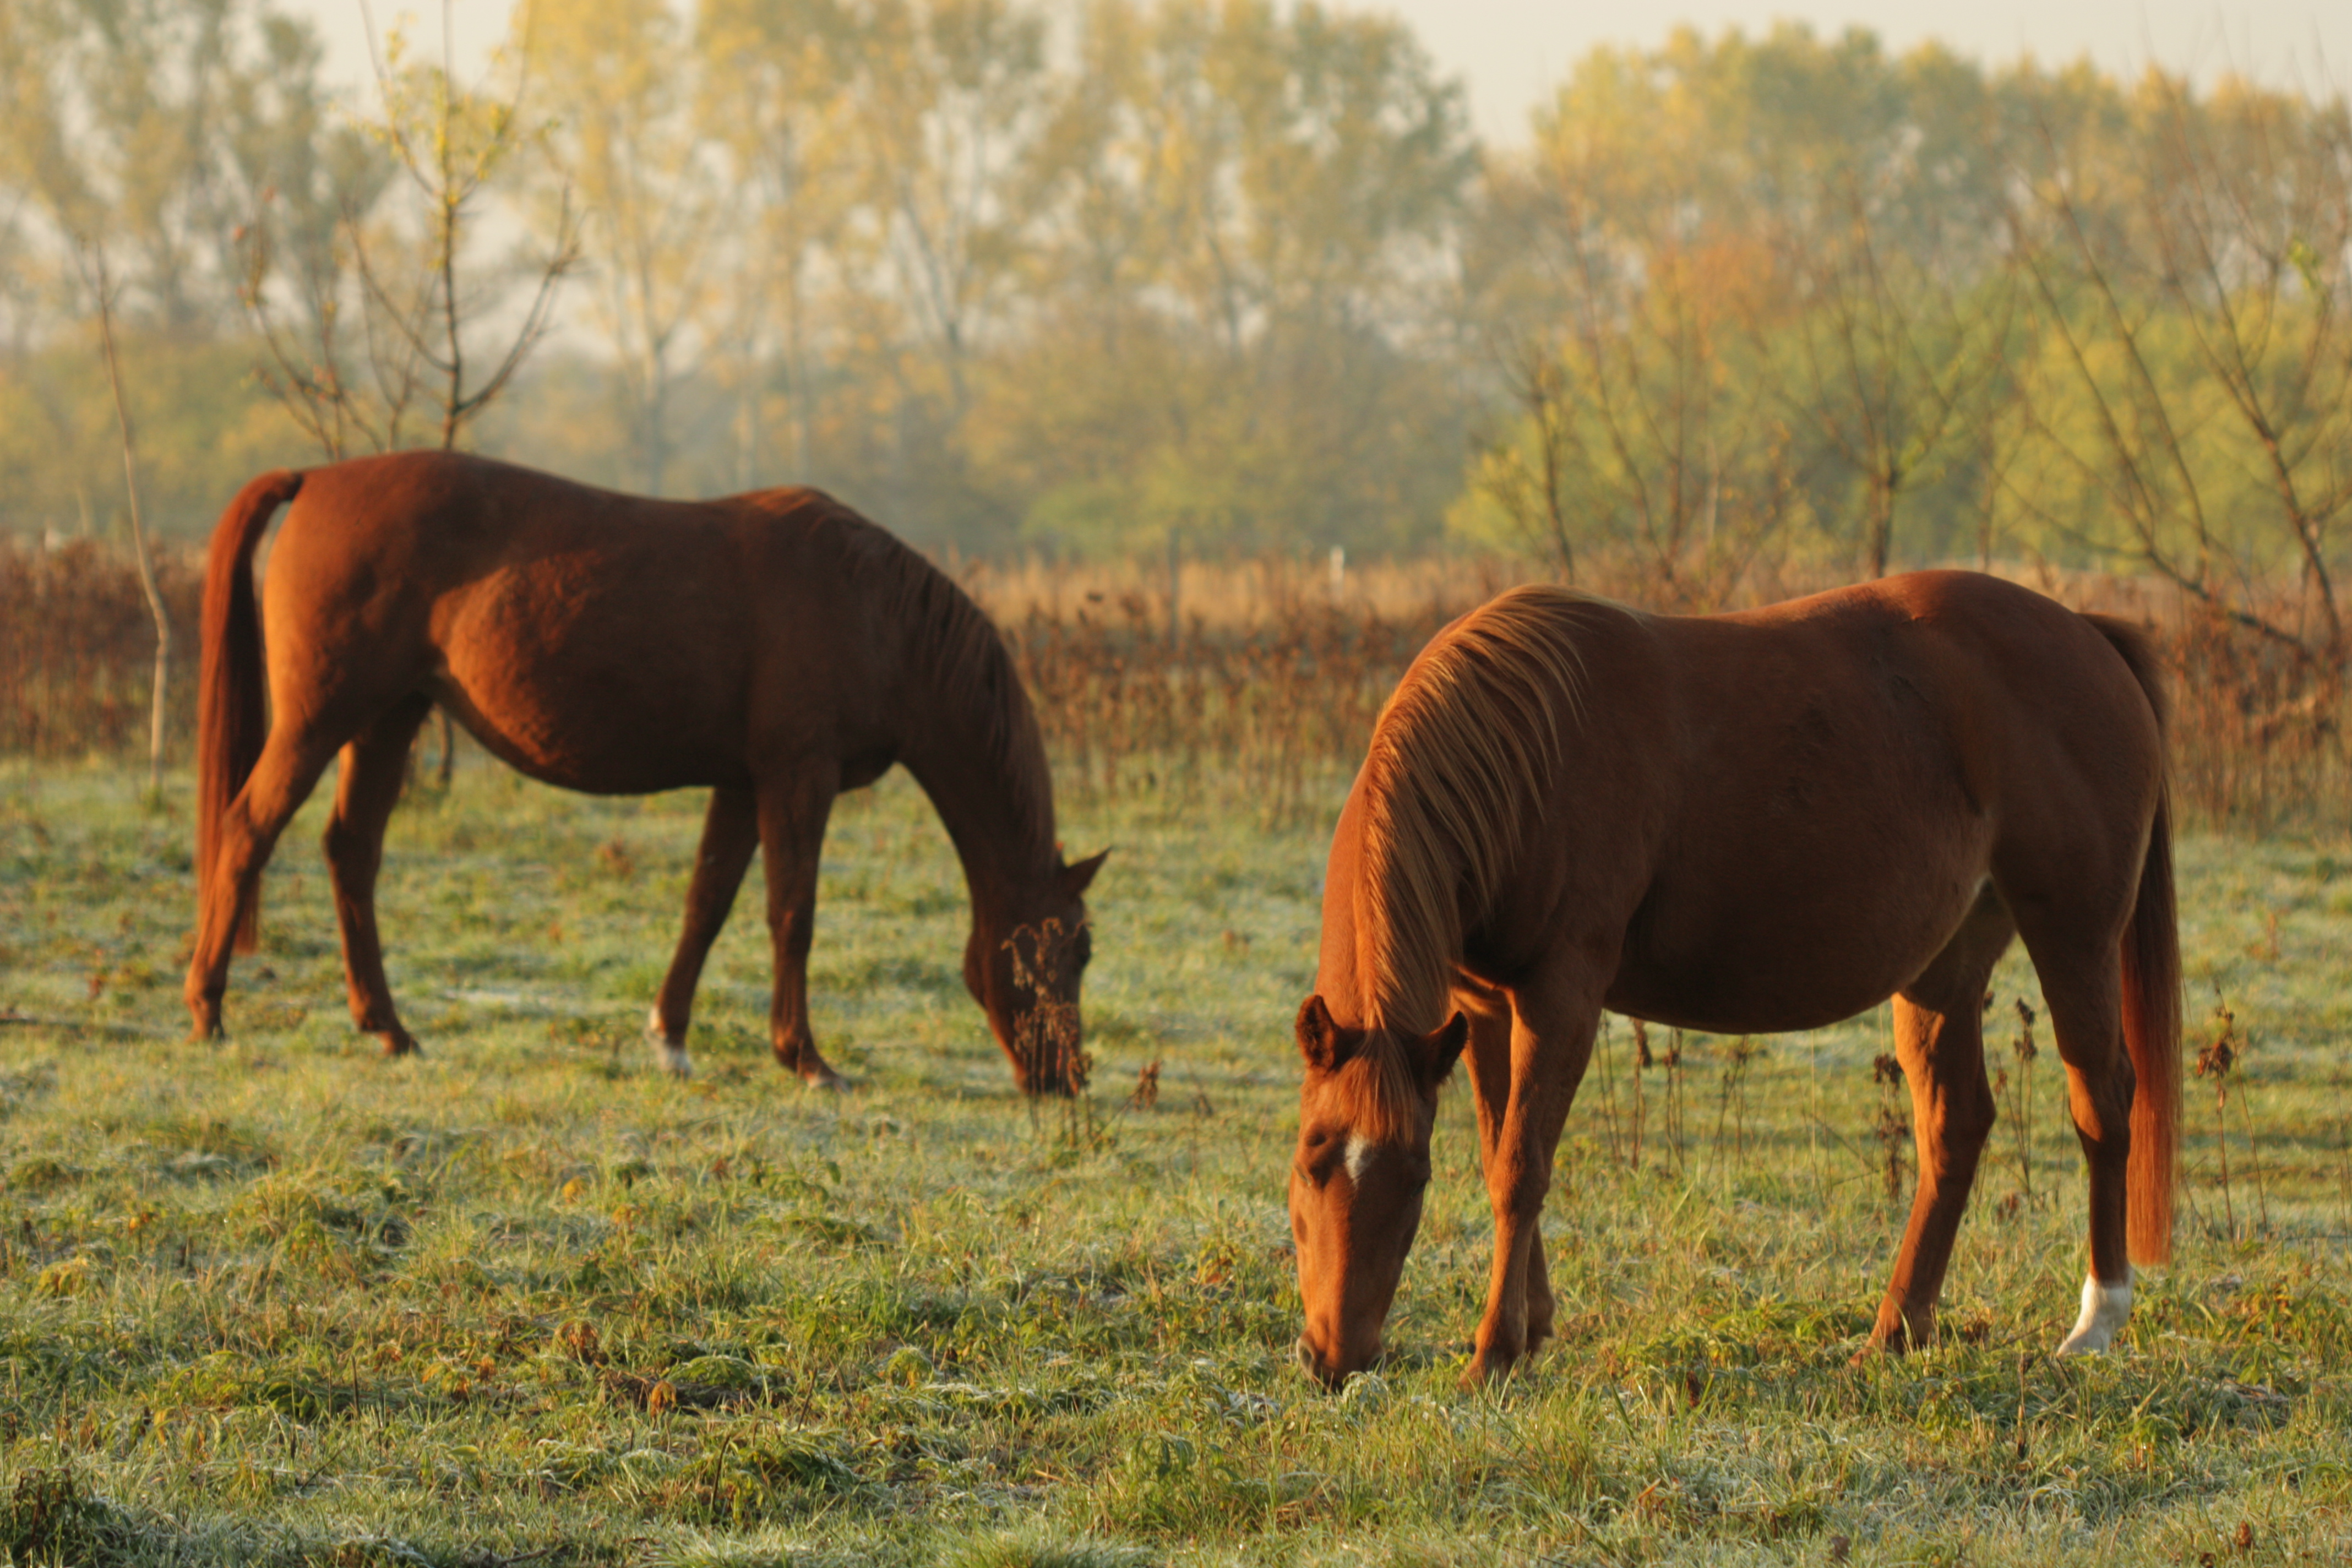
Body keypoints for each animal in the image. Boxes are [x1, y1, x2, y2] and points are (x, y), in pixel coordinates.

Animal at [185, 451, 1106, 1092]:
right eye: (1078, 949)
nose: (1068, 1079)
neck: (876, 614)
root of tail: (316, 479)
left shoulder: (743, 783)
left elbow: (708, 905)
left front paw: (671, 1038)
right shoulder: (797, 776)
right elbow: (792, 914)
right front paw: (808, 1060)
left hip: (389, 719)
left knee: (351, 853)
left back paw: (389, 1028)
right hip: (320, 720)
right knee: (246, 832)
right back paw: (208, 1010)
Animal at [1287, 571, 2180, 1385]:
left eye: (1414, 1183)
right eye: (1310, 1163)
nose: (1335, 1357)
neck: (1530, 755)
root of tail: (2088, 633)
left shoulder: (1561, 995)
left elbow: (1520, 1169)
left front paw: (1493, 1354)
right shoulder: (1483, 1007)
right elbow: (1499, 1149)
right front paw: (1530, 1326)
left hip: (2075, 934)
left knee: (2102, 1103)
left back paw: (2097, 1320)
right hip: (1945, 966)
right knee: (1956, 1126)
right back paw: (1895, 1331)